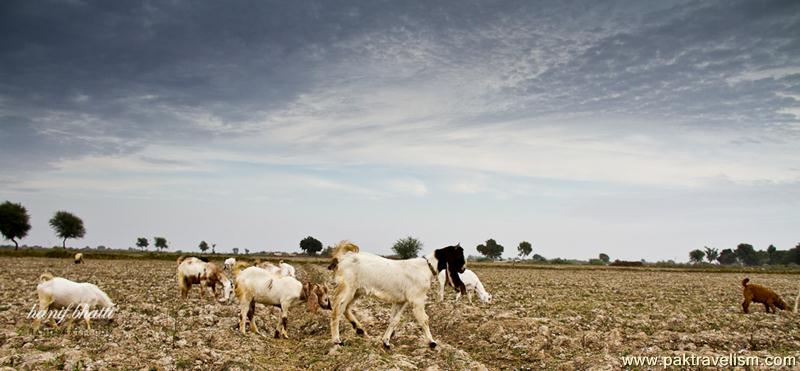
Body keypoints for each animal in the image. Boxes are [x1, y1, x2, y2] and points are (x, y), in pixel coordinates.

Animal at [326, 241, 466, 348]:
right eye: (459, 255)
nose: (463, 268)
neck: (426, 267)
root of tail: (344, 257)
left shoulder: (401, 301)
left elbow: (394, 319)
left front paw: (386, 342)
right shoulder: (417, 299)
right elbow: (424, 319)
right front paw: (432, 342)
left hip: (357, 291)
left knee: (346, 308)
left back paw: (360, 330)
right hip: (348, 287)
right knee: (338, 309)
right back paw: (337, 340)